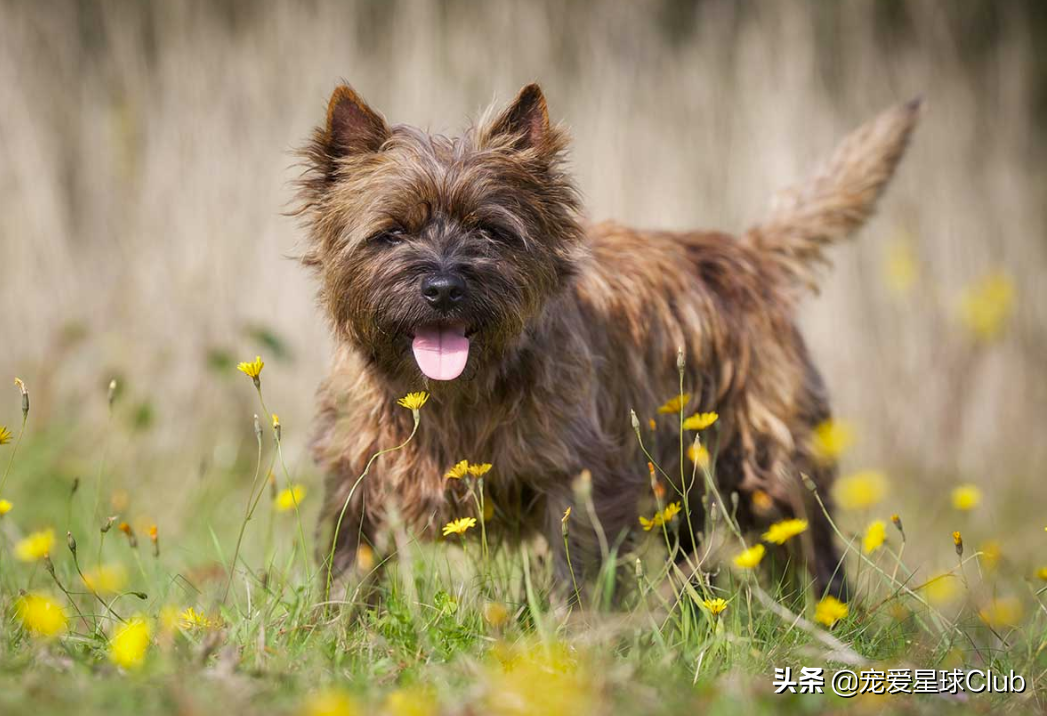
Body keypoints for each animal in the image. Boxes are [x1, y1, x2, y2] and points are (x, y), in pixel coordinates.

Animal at [293, 81, 917, 602]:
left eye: (490, 231)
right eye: (391, 232)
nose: (443, 287)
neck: (453, 394)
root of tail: (748, 252)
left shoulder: (582, 478)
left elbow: (578, 572)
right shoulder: (356, 472)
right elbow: (347, 562)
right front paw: (339, 628)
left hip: (768, 463)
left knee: (810, 546)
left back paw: (827, 617)